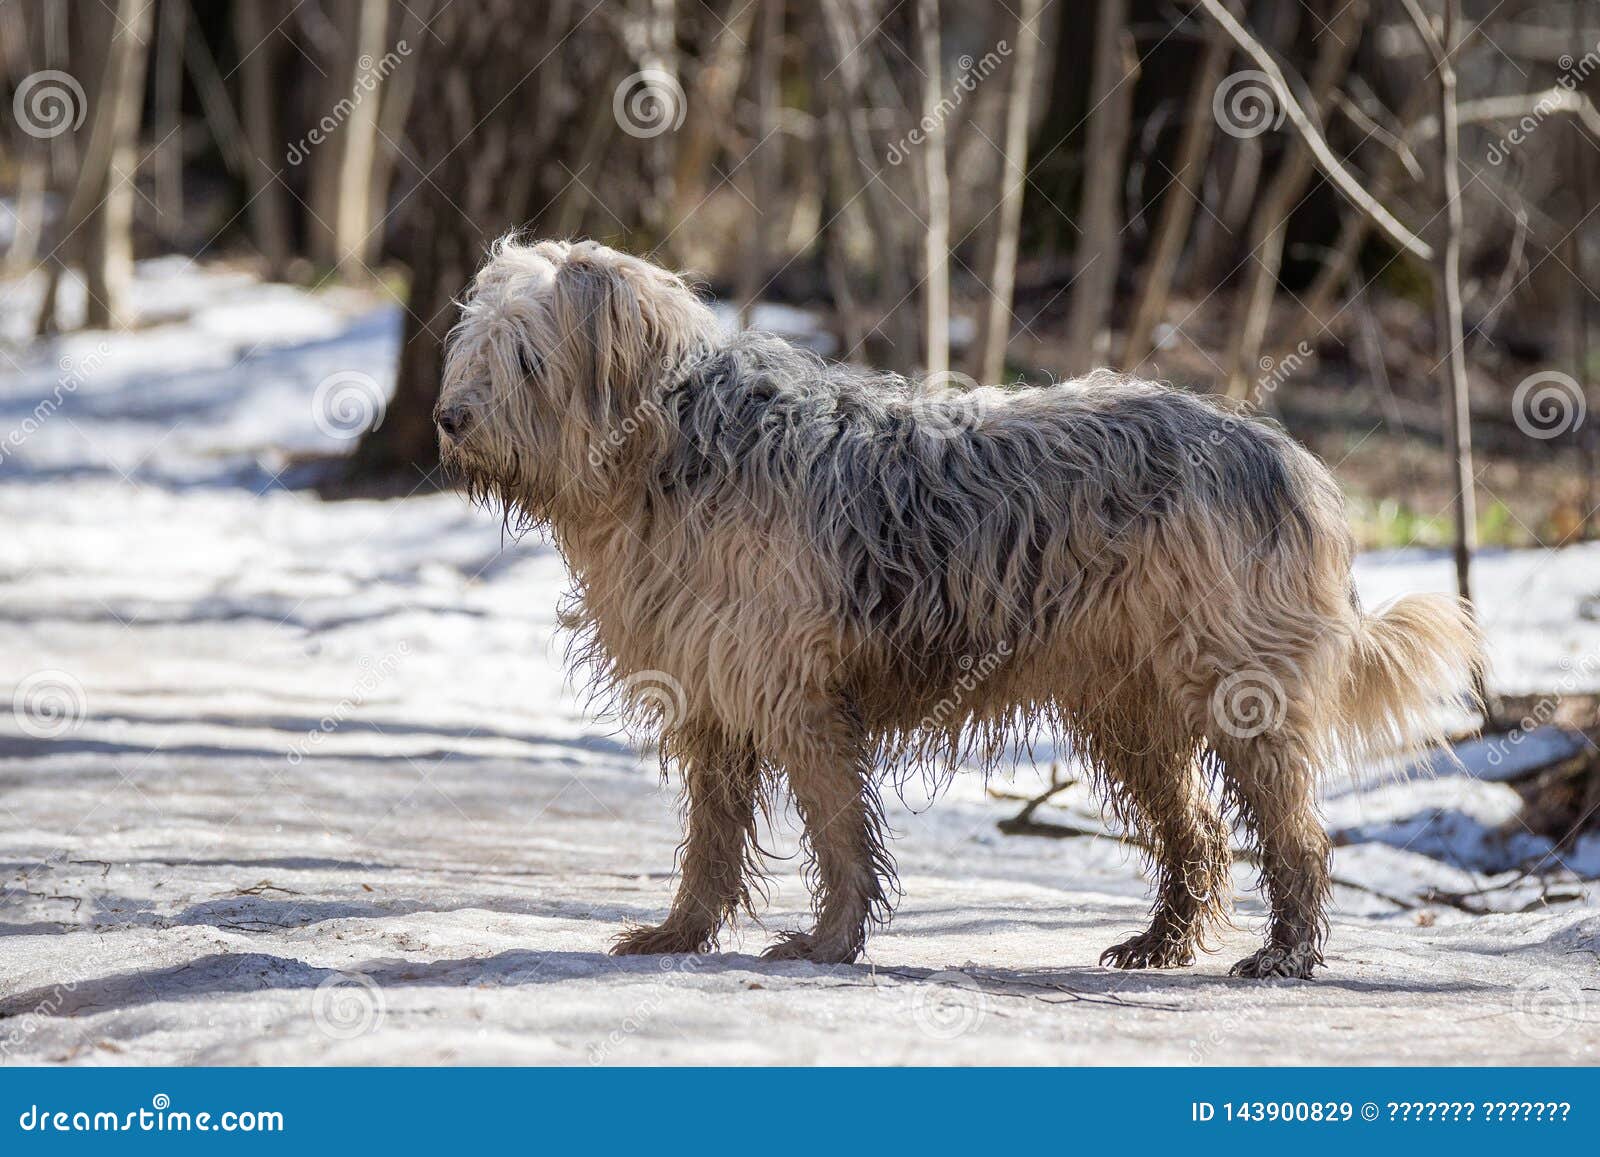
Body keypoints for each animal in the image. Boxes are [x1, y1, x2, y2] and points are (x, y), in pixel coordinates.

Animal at [432, 240, 1478, 979]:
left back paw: (1285, 954)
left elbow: (838, 832)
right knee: (1199, 834)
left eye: (526, 358)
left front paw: (829, 943)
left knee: (1296, 836)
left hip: (1240, 693)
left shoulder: (798, 699)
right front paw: (680, 932)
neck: (672, 444)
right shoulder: (713, 702)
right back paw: (1160, 944)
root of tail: (1286, 456)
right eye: (471, 349)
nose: (447, 419)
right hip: (1130, 712)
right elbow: (713, 842)